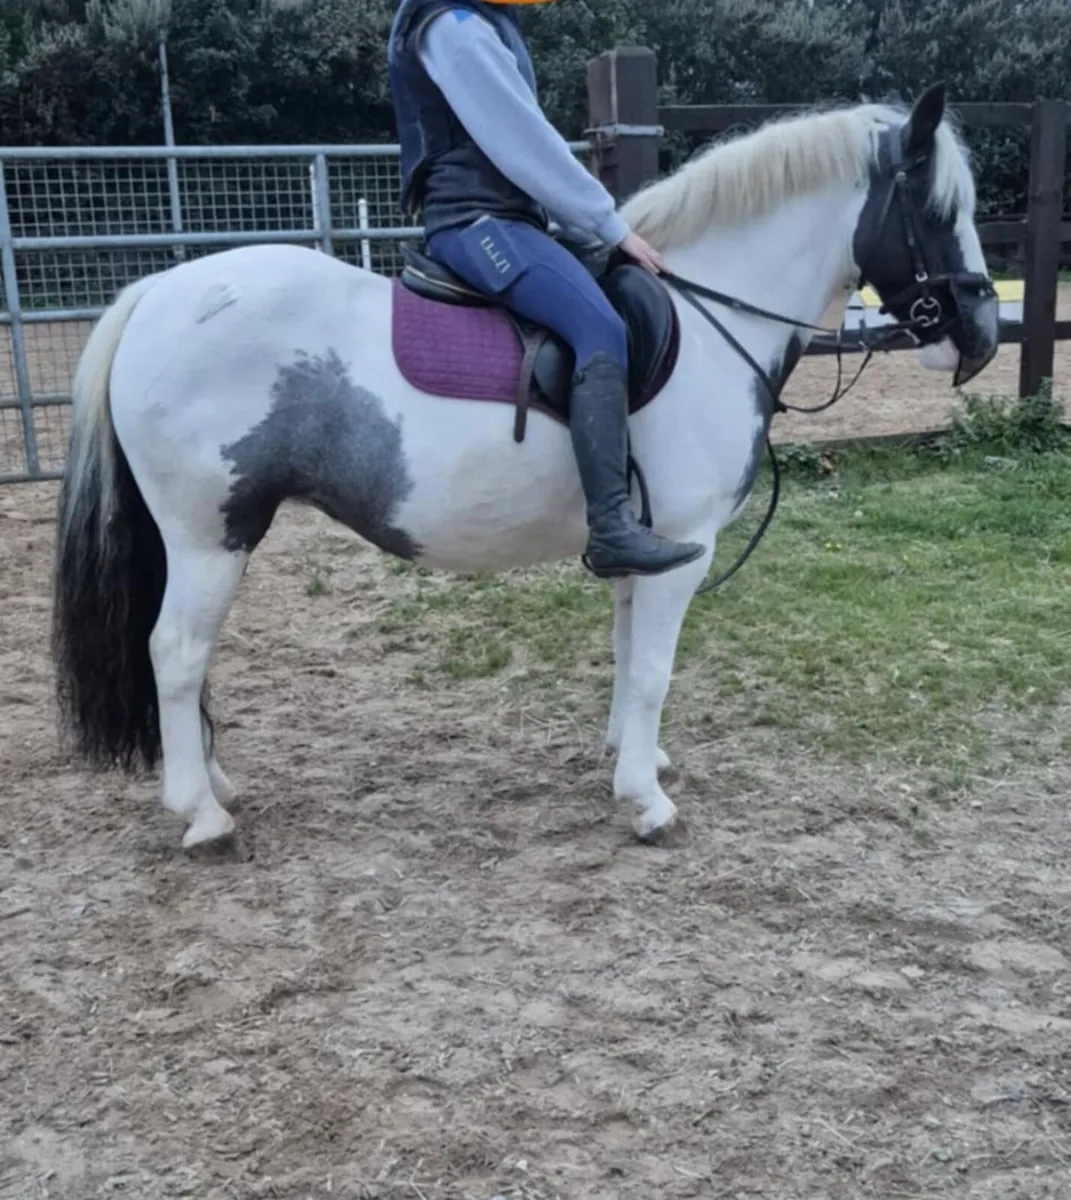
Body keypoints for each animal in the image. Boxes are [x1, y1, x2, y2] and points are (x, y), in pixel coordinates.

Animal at [51, 83, 999, 853]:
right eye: (935, 207)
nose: (981, 338)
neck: (705, 318)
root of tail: (158, 294)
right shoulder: (680, 548)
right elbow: (652, 668)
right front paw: (645, 801)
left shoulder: (641, 547)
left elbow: (626, 653)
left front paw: (631, 758)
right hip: (211, 535)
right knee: (176, 652)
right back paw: (202, 815)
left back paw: (214, 784)